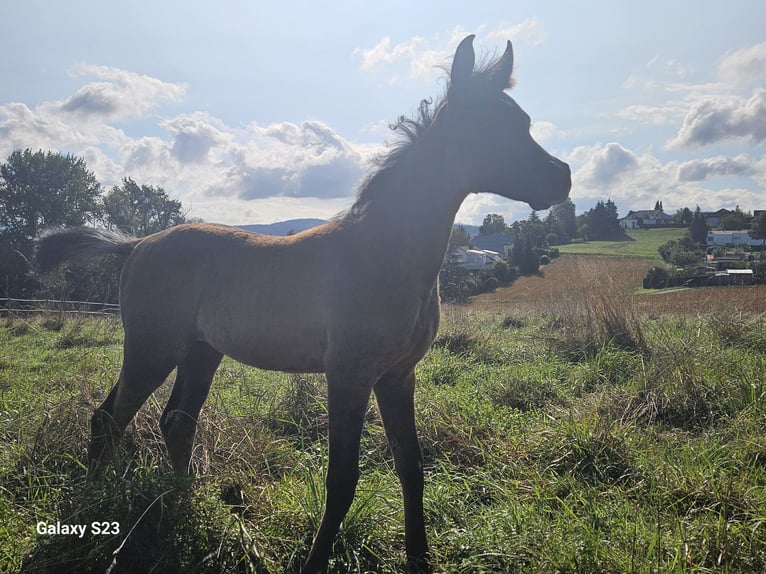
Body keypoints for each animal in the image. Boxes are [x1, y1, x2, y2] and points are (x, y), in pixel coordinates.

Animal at [34, 36, 568, 574]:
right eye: (490, 124)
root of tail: (136, 244)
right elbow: (343, 478)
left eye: (523, 120)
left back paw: (191, 503)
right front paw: (316, 562)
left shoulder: (398, 375)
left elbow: (411, 466)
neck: (383, 253)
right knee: (109, 420)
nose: (562, 179)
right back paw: (94, 512)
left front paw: (420, 558)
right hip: (151, 349)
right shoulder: (348, 373)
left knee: (175, 422)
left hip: (200, 352)